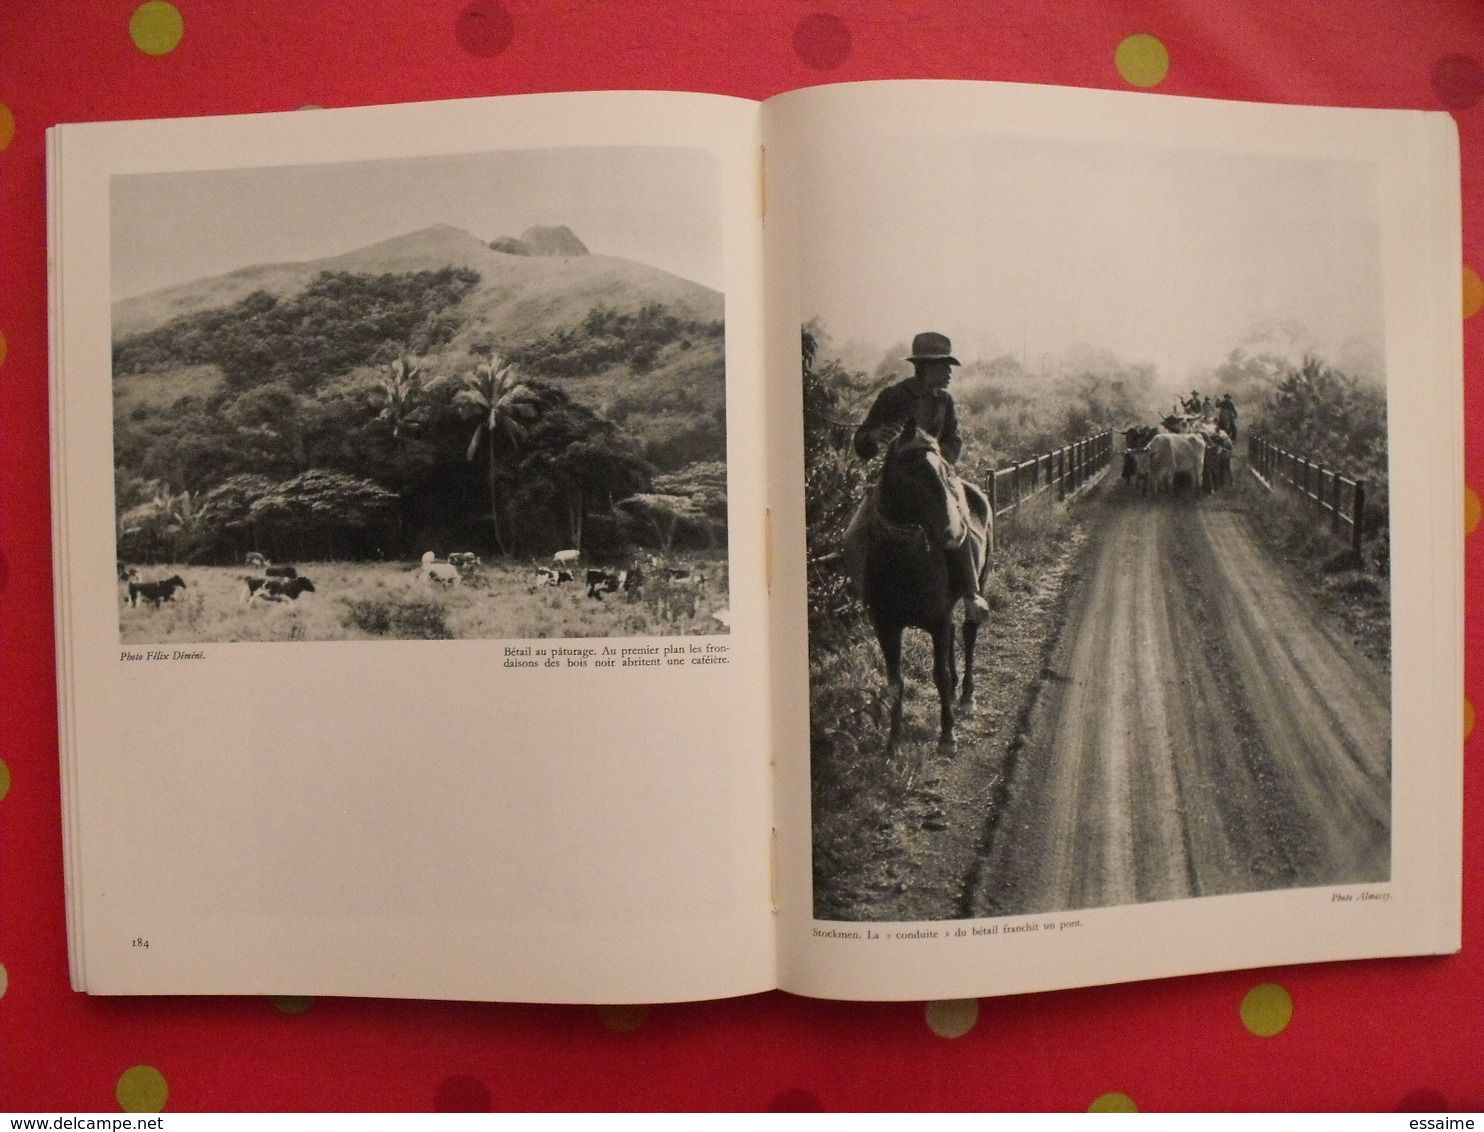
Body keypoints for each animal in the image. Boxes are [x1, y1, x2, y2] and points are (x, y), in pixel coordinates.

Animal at [848, 421, 997, 756]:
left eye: (943, 469)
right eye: (910, 471)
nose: (954, 532)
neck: (904, 561)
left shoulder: (937, 622)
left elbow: (938, 675)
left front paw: (947, 736)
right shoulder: (887, 627)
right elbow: (895, 683)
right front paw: (893, 743)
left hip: (978, 583)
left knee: (968, 632)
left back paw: (966, 698)